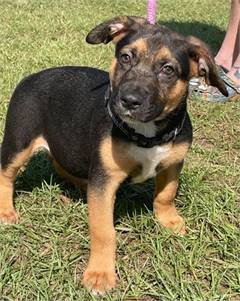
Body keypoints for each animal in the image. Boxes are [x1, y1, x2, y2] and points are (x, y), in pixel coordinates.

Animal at [0, 16, 227, 292]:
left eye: (168, 70)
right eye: (126, 57)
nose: (129, 100)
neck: (147, 135)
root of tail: (31, 77)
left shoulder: (173, 163)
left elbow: (166, 195)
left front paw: (170, 221)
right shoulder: (105, 176)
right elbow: (103, 231)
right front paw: (100, 273)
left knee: (61, 163)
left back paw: (81, 185)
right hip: (18, 142)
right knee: (6, 174)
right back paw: (6, 211)